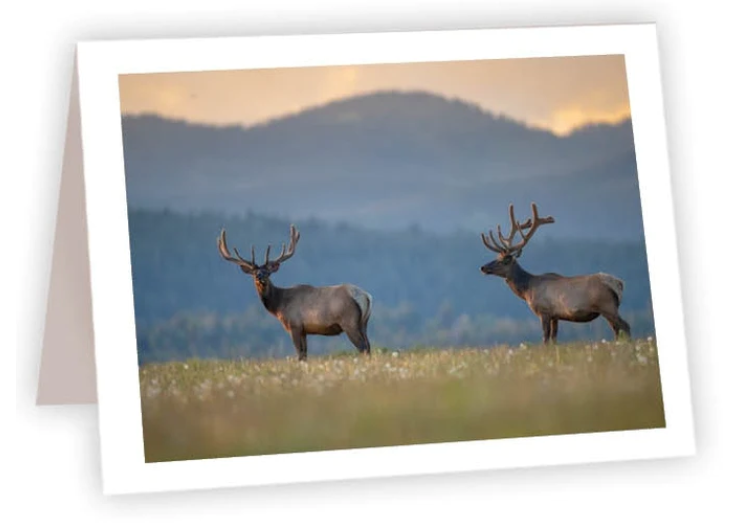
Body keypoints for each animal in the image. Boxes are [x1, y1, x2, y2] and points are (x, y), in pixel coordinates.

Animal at [217, 224, 373, 361]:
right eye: (254, 273)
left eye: (268, 272)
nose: (260, 277)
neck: (279, 305)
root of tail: (365, 296)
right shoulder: (304, 330)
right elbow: (305, 355)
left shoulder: (294, 324)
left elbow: (300, 354)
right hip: (363, 323)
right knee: (369, 346)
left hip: (349, 321)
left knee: (363, 347)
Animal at [479, 202, 631, 344]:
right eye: (496, 257)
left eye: (503, 261)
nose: (483, 267)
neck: (528, 290)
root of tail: (618, 284)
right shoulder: (556, 316)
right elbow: (554, 339)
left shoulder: (544, 311)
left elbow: (545, 338)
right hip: (609, 308)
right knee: (617, 330)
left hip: (607, 305)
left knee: (625, 326)